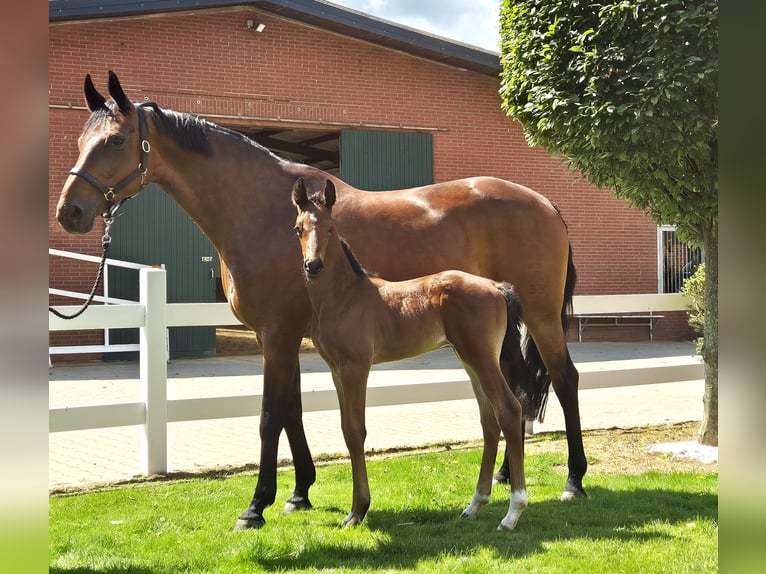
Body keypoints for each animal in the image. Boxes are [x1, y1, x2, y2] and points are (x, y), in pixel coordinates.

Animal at [292, 179, 528, 532]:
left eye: (331, 228)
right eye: (299, 228)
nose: (313, 266)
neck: (345, 296)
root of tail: (495, 286)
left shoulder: (356, 367)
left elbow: (356, 431)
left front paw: (358, 510)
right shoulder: (336, 370)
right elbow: (346, 429)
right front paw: (356, 509)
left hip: (482, 359)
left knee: (510, 412)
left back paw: (512, 513)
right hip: (470, 360)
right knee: (489, 420)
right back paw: (474, 506)